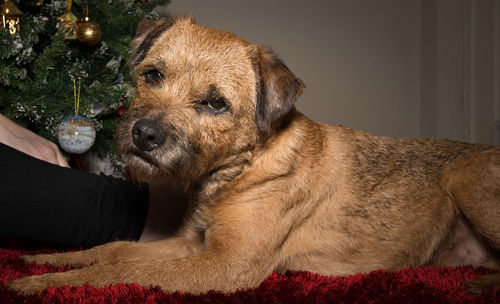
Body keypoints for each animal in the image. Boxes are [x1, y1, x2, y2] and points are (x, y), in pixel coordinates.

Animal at [7, 16, 500, 294]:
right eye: (153, 74)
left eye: (215, 103)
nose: (144, 134)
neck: (239, 170)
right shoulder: (190, 244)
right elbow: (116, 252)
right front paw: (52, 262)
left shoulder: (226, 266)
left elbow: (121, 272)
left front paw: (45, 284)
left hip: (464, 173)